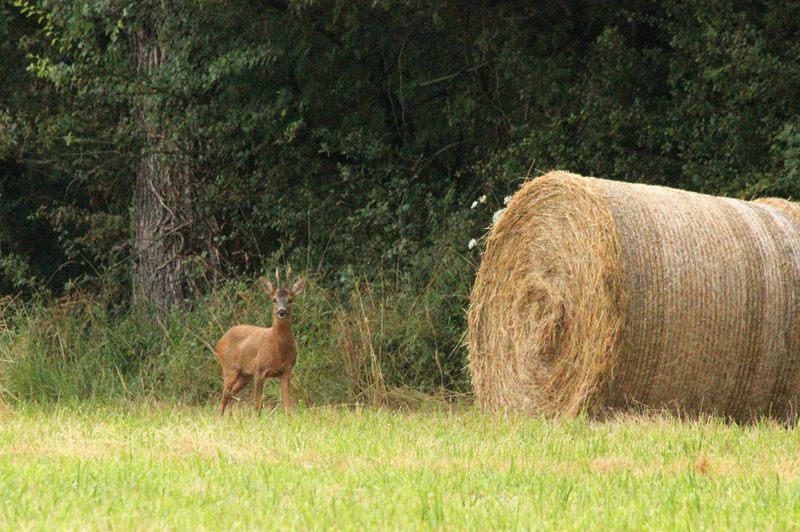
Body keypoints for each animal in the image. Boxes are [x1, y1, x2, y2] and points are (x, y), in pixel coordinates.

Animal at [212, 266, 306, 416]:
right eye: (274, 299)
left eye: (290, 300)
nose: (282, 312)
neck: (278, 350)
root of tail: (220, 342)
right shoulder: (259, 369)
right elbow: (257, 405)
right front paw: (256, 418)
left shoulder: (286, 371)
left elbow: (287, 406)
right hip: (229, 369)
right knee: (223, 398)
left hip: (244, 376)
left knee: (230, 394)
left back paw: (231, 417)